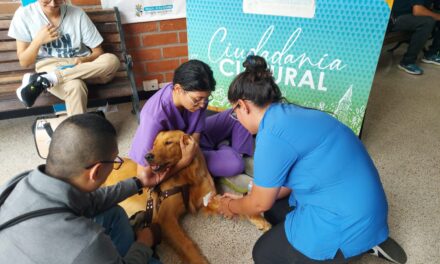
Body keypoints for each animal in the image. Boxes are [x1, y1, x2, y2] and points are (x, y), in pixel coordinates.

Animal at [107, 130, 272, 264]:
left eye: (168, 142)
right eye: (154, 144)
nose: (147, 156)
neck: (186, 175)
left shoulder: (206, 199)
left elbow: (233, 203)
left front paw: (259, 219)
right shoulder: (165, 217)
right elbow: (187, 245)